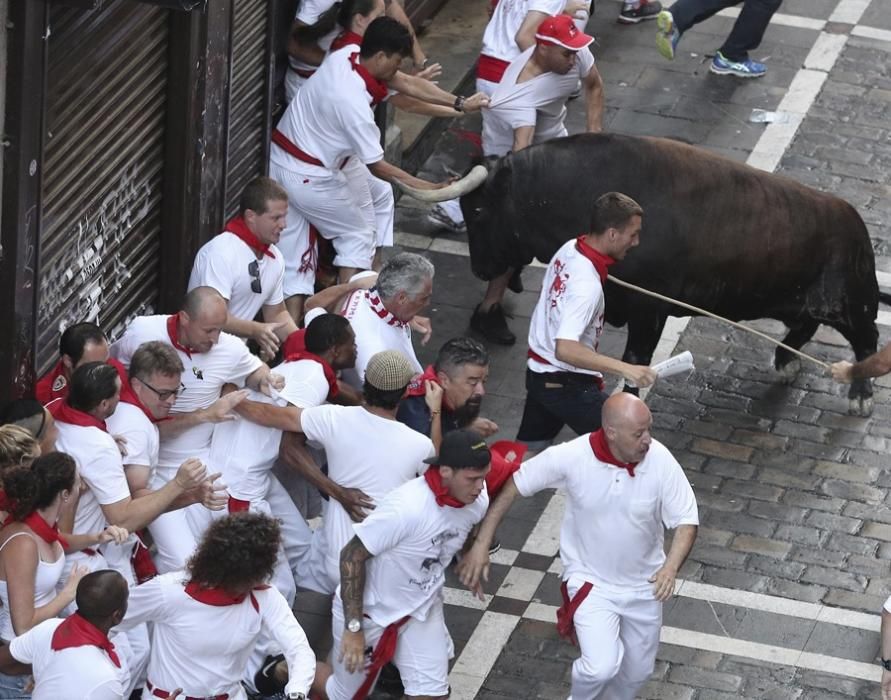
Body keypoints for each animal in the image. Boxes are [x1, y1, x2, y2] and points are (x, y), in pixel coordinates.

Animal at [460, 134, 884, 412]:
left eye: (478, 211)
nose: (479, 270)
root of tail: (850, 217)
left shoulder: (648, 310)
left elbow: (635, 359)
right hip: (801, 301)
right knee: (805, 326)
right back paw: (786, 364)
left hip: (850, 303)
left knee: (867, 340)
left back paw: (859, 396)